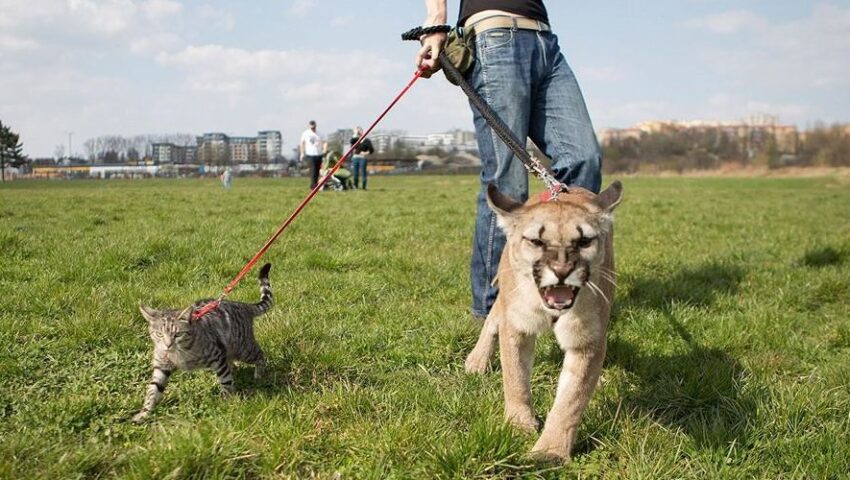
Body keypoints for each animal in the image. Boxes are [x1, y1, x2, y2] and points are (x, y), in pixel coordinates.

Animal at [132, 262, 274, 424]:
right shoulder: (161, 365)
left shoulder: (217, 355)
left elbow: (225, 381)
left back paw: (258, 376)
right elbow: (153, 390)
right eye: (159, 334)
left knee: (260, 355)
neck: (179, 353)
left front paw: (228, 401)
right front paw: (144, 413)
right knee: (231, 362)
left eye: (177, 334)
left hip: (243, 349)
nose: (168, 345)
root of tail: (243, 306)